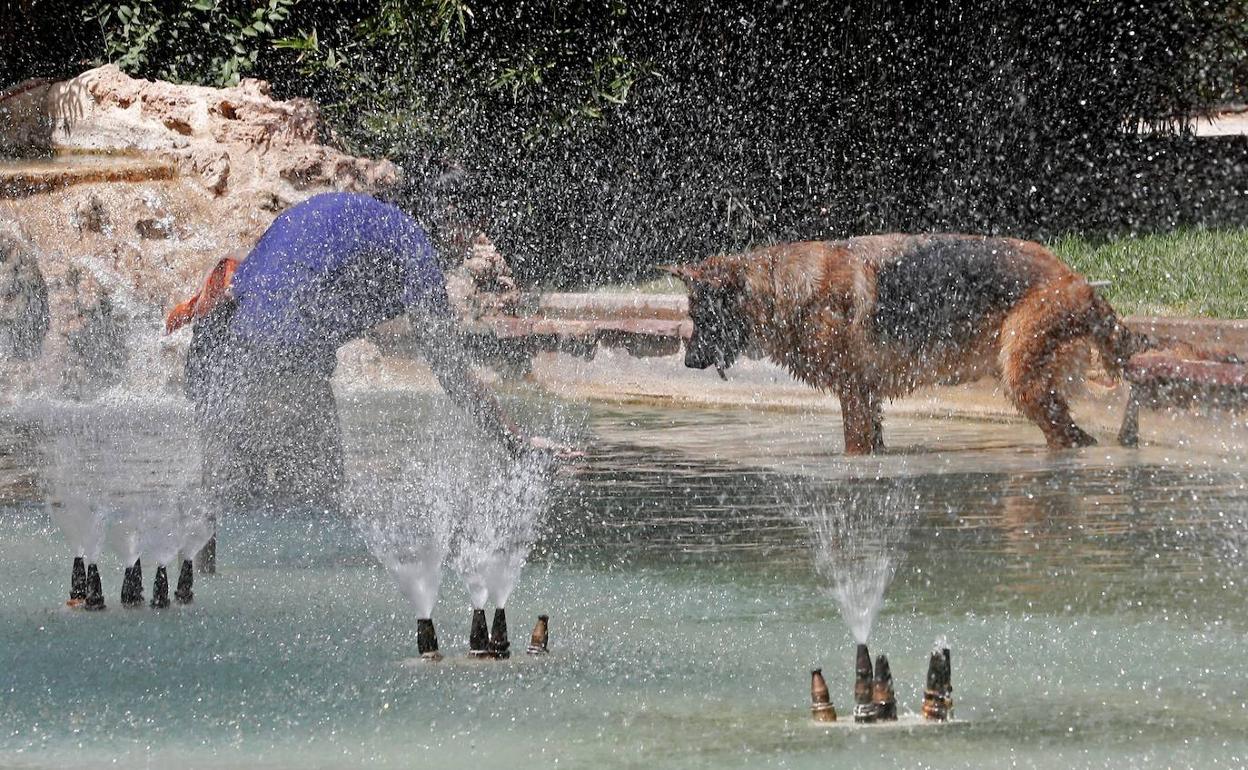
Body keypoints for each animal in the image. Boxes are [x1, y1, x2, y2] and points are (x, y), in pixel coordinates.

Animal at [668, 232, 1163, 449]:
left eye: (701, 317)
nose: (689, 362)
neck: (777, 290)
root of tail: (1080, 283)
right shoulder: (867, 397)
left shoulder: (853, 392)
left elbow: (854, 447)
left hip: (1024, 380)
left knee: (1073, 437)